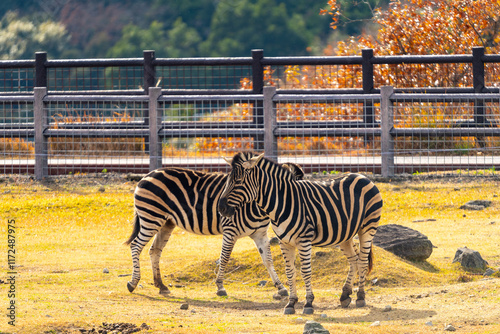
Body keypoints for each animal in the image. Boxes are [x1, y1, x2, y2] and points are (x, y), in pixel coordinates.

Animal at [125, 164, 304, 298]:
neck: (256, 205)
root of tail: (147, 175)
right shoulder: (230, 230)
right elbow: (224, 258)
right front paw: (220, 287)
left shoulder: (259, 234)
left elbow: (268, 260)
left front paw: (280, 287)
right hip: (151, 217)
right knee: (135, 246)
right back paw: (133, 283)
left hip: (166, 222)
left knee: (154, 250)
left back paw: (161, 285)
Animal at [218, 153, 382, 314]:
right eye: (227, 181)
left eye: (238, 181)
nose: (221, 208)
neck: (282, 203)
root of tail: (362, 176)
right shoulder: (284, 242)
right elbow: (290, 271)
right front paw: (291, 303)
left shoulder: (304, 240)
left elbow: (305, 271)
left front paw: (308, 303)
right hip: (344, 235)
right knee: (354, 260)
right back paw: (345, 295)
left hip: (368, 228)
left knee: (362, 261)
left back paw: (360, 297)